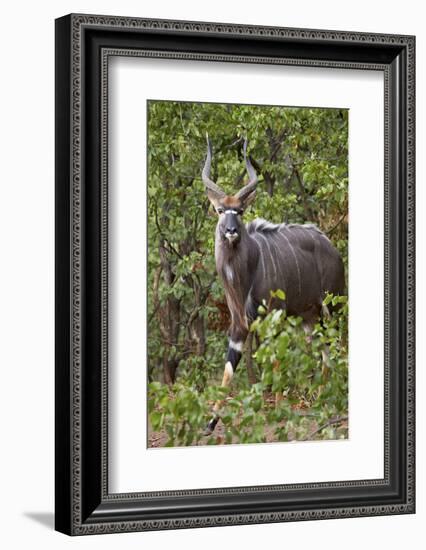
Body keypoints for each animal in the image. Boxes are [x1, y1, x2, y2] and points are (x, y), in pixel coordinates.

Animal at [203, 138, 346, 436]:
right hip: (309, 316)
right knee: (323, 350)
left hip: (333, 305)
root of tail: (332, 247)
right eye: (221, 210)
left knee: (336, 344)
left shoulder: (274, 315)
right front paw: (209, 424)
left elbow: (275, 359)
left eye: (240, 211)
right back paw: (321, 397)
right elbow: (229, 368)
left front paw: (278, 409)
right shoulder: (239, 324)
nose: (231, 231)